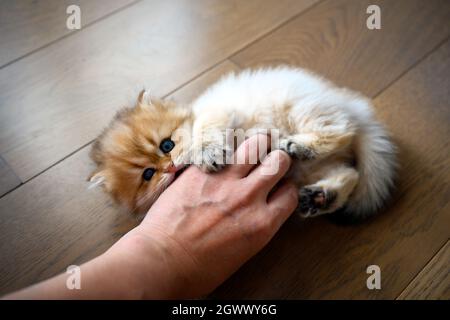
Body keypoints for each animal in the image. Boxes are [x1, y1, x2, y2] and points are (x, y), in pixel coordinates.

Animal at [89, 66, 398, 221]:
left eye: (166, 145)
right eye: (148, 175)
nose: (170, 168)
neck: (192, 112)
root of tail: (351, 105)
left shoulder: (218, 111)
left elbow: (206, 132)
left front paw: (207, 154)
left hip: (304, 110)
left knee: (342, 131)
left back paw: (300, 147)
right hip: (307, 171)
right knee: (349, 173)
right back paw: (320, 197)